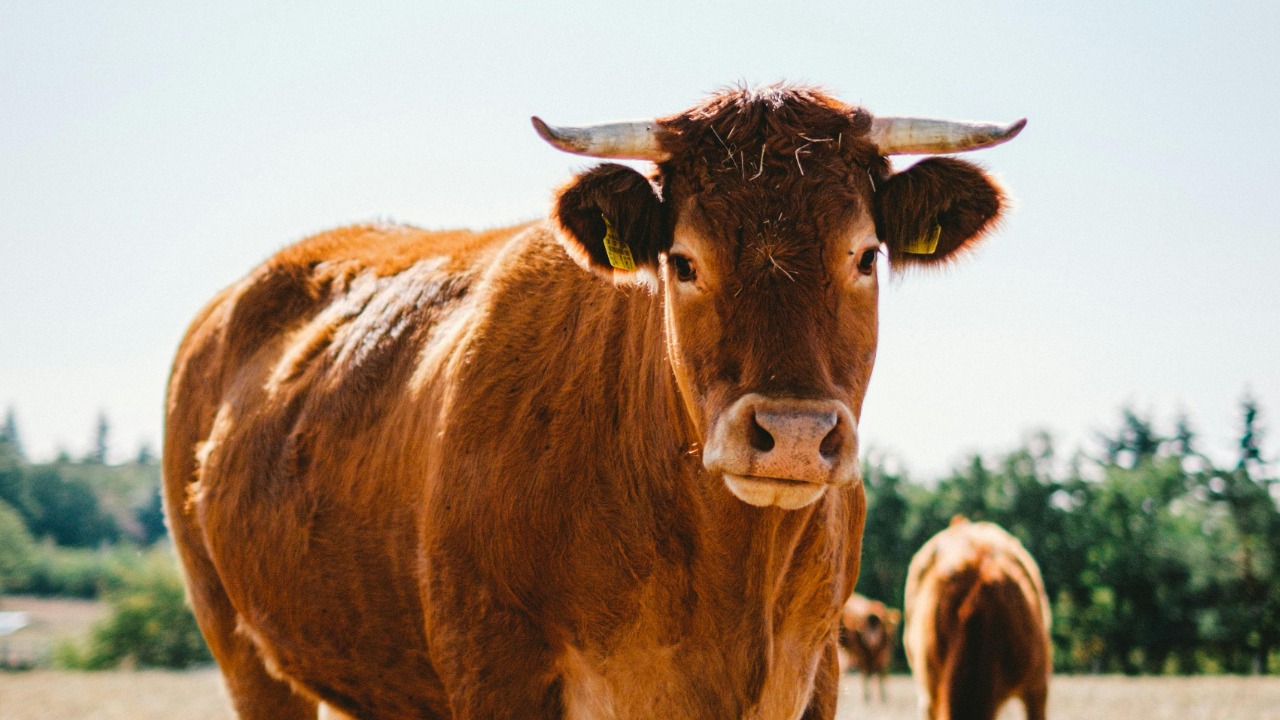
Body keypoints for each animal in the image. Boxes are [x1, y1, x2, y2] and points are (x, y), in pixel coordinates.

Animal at [163, 84, 1025, 720]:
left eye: (866, 255)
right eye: (683, 260)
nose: (792, 433)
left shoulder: (817, 671)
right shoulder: (494, 666)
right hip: (240, 645)